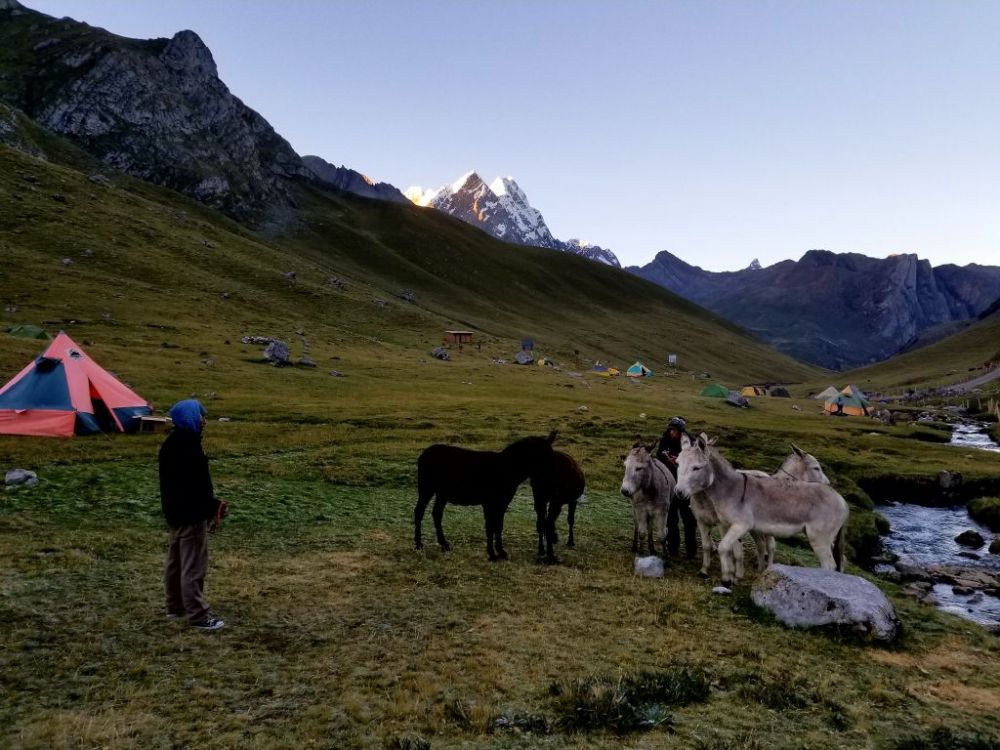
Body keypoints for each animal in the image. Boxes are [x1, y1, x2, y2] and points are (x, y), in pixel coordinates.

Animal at [414, 431, 557, 561]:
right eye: (544, 456)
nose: (551, 481)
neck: (508, 468)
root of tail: (423, 455)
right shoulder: (489, 502)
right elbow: (490, 526)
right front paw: (492, 552)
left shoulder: (503, 502)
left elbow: (498, 525)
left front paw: (500, 551)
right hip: (426, 488)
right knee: (419, 512)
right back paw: (419, 544)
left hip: (441, 493)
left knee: (436, 514)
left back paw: (444, 544)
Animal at [677, 434, 848, 588]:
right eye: (677, 463)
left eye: (696, 467)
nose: (678, 492)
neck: (729, 489)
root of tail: (842, 500)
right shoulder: (726, 525)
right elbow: (730, 550)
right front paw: (731, 576)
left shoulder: (741, 525)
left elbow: (724, 547)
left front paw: (727, 580)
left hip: (819, 539)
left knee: (829, 565)